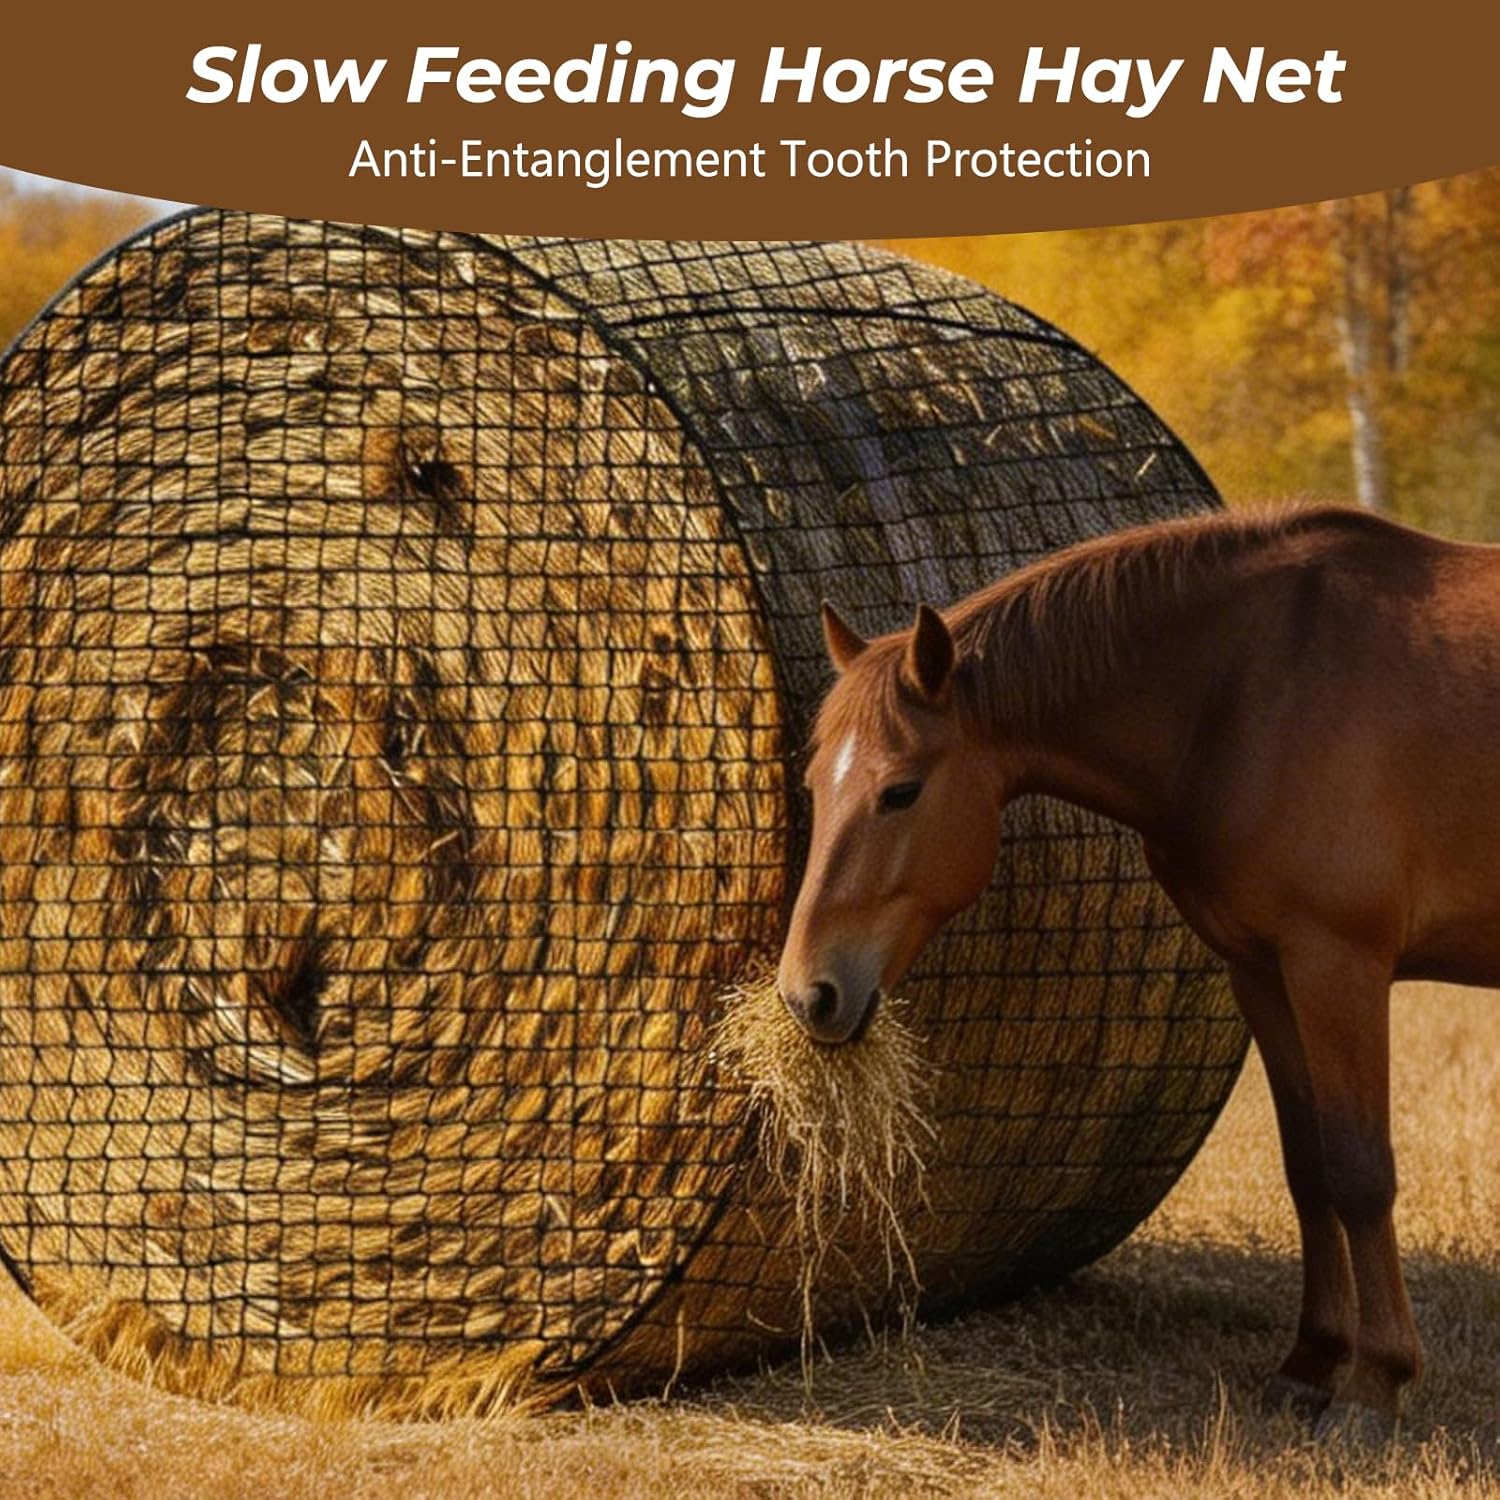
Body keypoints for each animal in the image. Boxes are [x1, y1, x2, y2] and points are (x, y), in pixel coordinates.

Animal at [777, 503, 1500, 1440]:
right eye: (815, 783)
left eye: (899, 791)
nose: (809, 993)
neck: (1259, 687)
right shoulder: (1262, 971)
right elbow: (1308, 1169)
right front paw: (1310, 1362)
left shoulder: (1336, 963)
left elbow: (1359, 1170)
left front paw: (1373, 1384)